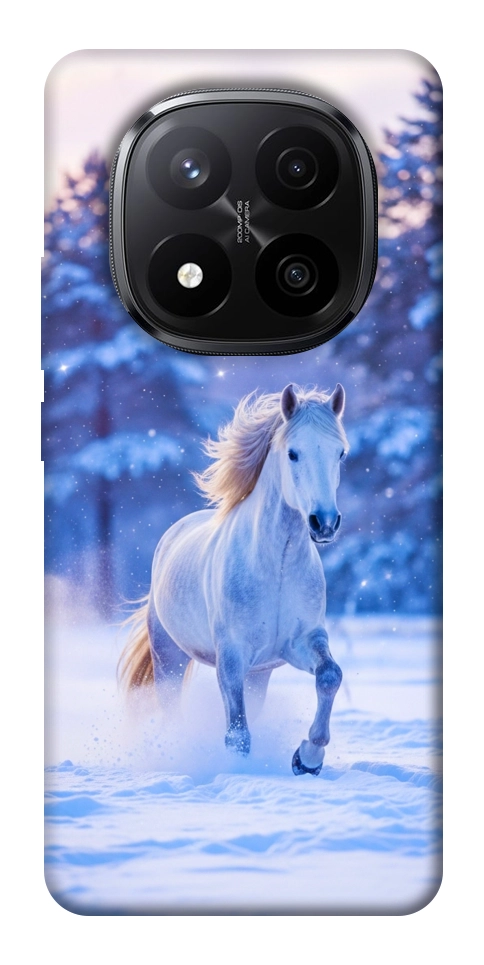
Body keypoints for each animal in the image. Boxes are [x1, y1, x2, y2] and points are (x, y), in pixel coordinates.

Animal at [119, 383, 348, 775]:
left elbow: (330, 676)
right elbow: (237, 734)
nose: (324, 523)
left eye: (340, 453)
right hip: (169, 658)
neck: (276, 567)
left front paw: (307, 758)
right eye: (293, 453)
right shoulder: (231, 656)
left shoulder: (301, 642)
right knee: (172, 710)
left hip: (259, 674)